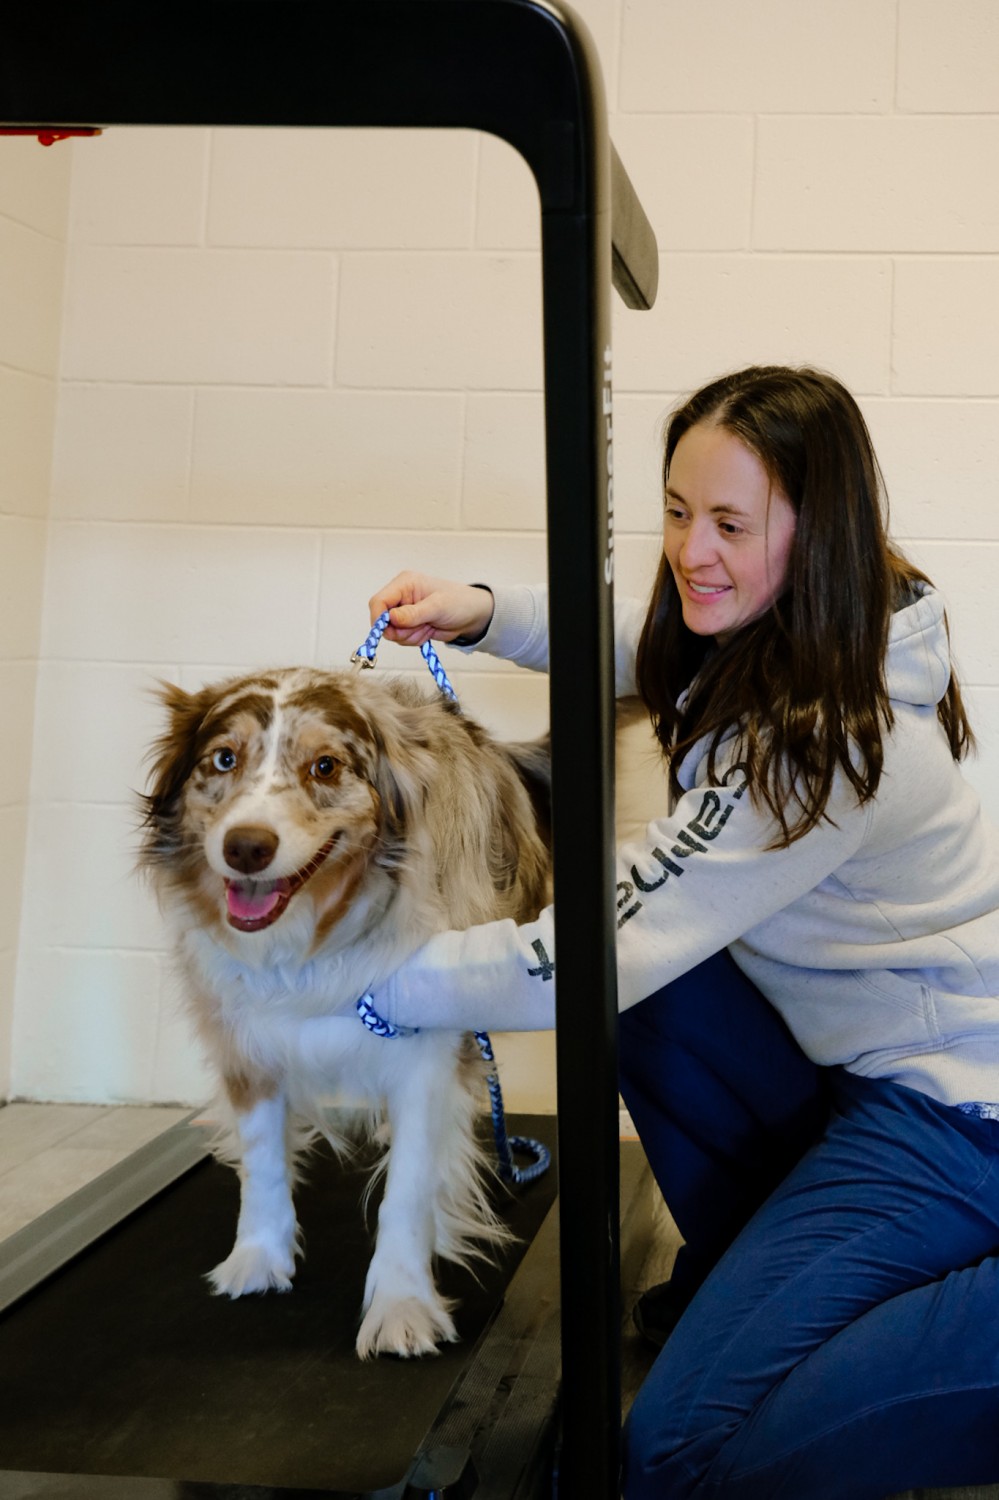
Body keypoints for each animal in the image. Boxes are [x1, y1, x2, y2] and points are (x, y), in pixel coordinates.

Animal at [137, 666, 549, 1362]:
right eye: (223, 759)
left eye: (325, 767)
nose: (245, 847)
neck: (313, 937)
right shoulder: (248, 1040)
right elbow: (262, 1164)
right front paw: (258, 1258)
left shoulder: (427, 1053)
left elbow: (407, 1190)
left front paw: (401, 1305)